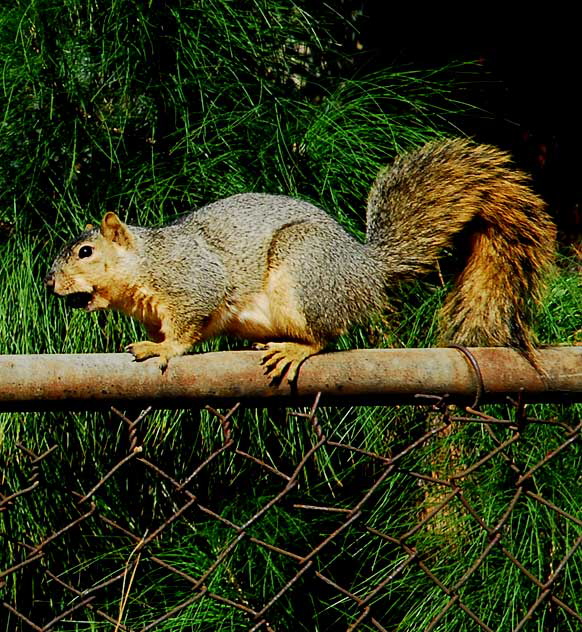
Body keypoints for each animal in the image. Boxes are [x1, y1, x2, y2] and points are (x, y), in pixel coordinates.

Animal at [44, 139, 556, 382]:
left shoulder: (192, 279)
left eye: (86, 252)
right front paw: (155, 340)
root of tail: (365, 270)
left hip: (306, 273)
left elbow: (188, 325)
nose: (50, 285)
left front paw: (163, 349)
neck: (146, 261)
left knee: (326, 338)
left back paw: (295, 350)